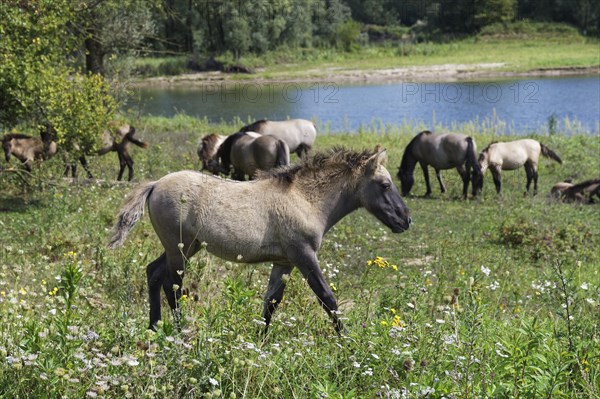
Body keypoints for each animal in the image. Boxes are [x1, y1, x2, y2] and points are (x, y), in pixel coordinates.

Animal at [109, 148, 412, 334]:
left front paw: (260, 342)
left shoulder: (285, 262)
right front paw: (348, 342)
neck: (304, 199)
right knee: (171, 286)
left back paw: (154, 327)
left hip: (186, 247)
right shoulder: (304, 255)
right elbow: (328, 299)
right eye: (385, 185)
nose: (406, 220)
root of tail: (155, 184)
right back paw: (179, 332)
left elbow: (271, 303)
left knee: (153, 272)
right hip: (179, 249)